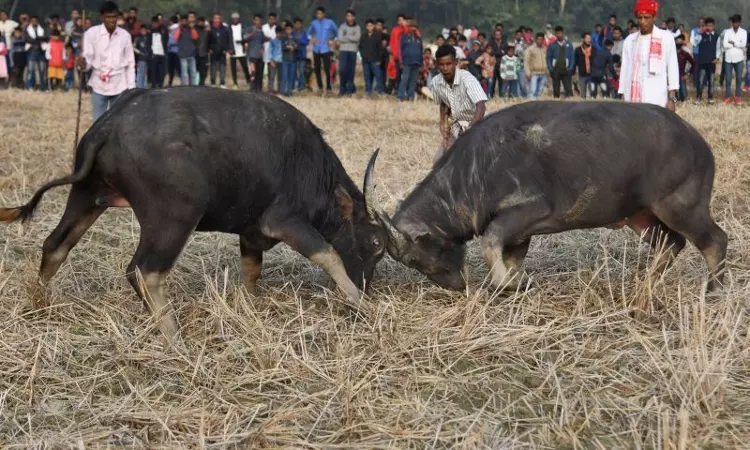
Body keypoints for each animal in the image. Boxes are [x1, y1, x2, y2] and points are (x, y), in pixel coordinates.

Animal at [0, 87, 387, 341]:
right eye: (376, 243)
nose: (367, 287)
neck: (310, 168)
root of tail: (111, 124)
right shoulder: (284, 221)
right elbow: (329, 254)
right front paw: (360, 304)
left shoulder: (251, 234)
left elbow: (252, 271)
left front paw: (251, 306)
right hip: (175, 215)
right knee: (144, 271)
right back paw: (175, 338)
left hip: (86, 195)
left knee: (55, 245)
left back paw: (39, 302)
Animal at [366, 101, 727, 293]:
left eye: (415, 259)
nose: (455, 285)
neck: (476, 169)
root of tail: (697, 141)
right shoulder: (520, 234)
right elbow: (509, 258)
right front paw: (513, 283)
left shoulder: (529, 212)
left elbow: (489, 241)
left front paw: (511, 284)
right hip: (641, 216)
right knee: (671, 244)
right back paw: (645, 284)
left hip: (680, 207)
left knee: (714, 240)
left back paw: (713, 289)